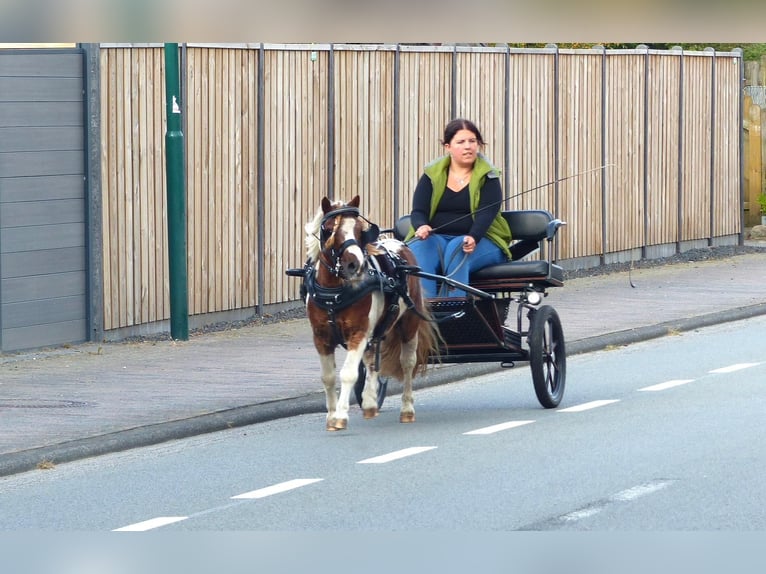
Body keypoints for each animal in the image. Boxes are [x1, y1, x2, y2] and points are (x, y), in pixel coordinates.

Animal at [304, 196, 440, 430]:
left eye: (360, 230)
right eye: (328, 229)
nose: (354, 264)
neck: (335, 293)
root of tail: (400, 245)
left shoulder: (358, 333)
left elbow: (348, 373)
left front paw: (341, 416)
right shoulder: (321, 337)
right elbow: (328, 377)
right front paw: (331, 416)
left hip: (409, 324)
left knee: (407, 363)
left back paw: (407, 409)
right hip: (378, 329)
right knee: (372, 360)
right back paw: (369, 402)